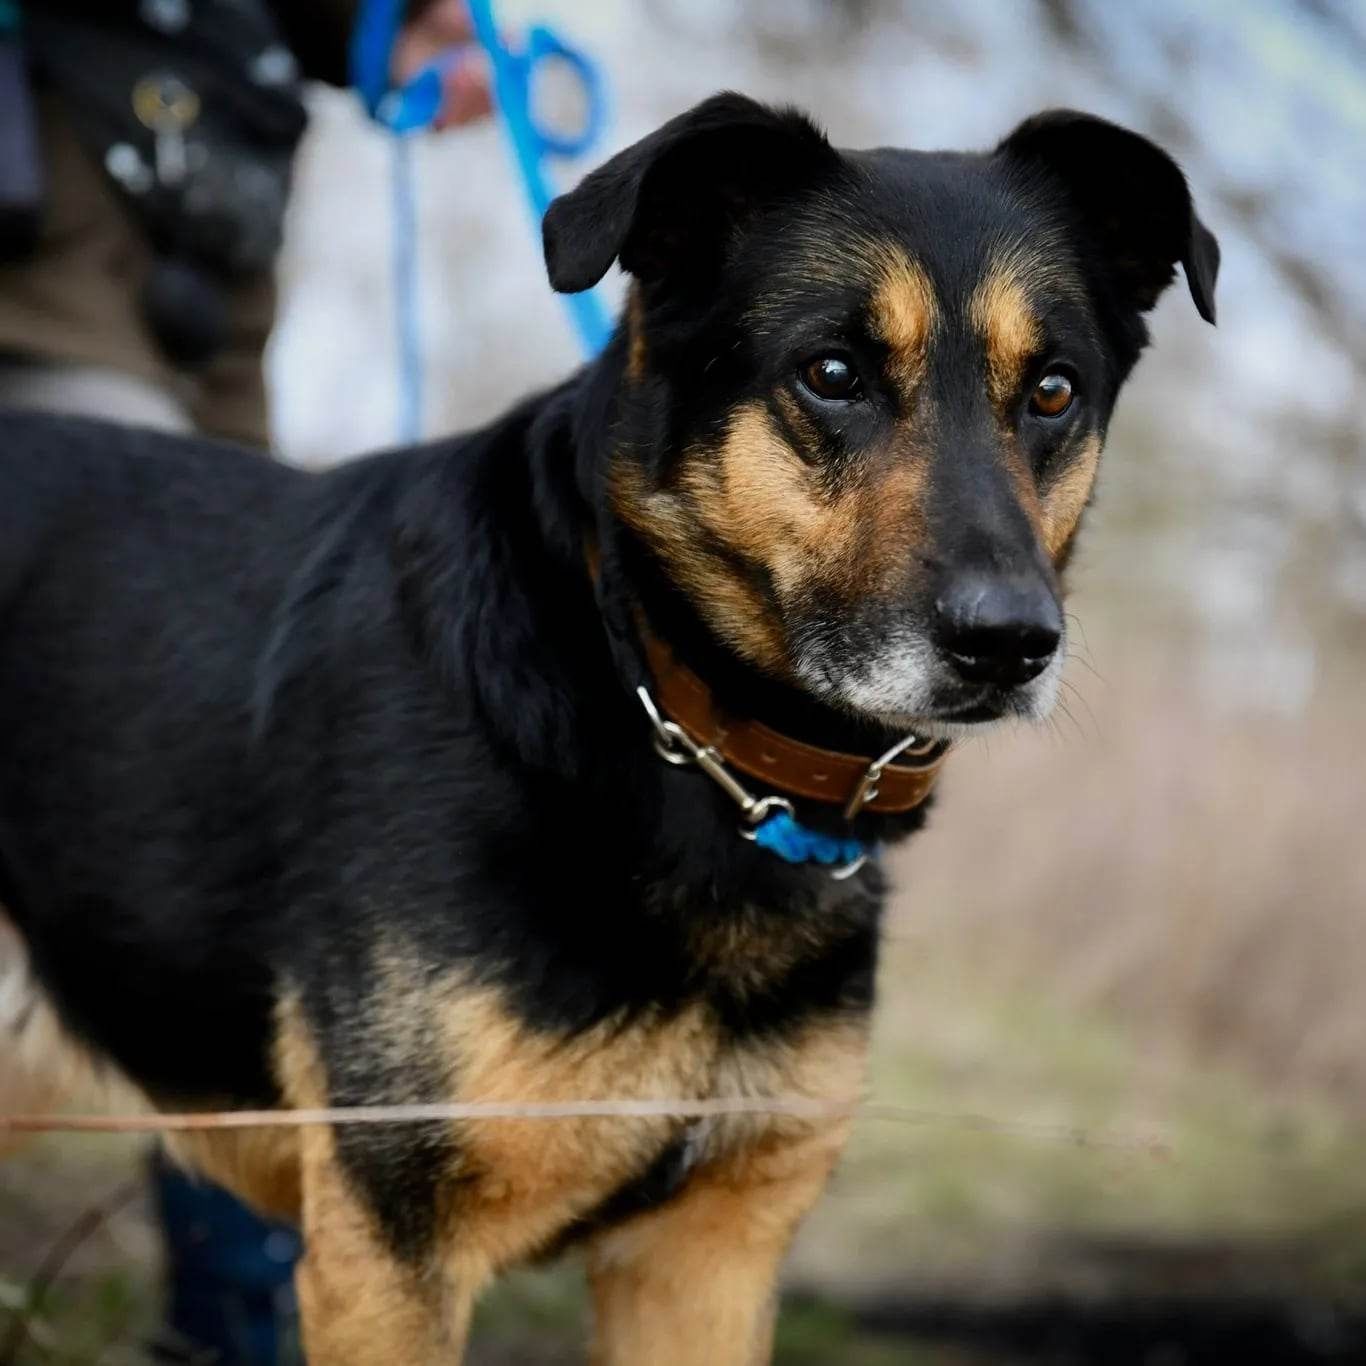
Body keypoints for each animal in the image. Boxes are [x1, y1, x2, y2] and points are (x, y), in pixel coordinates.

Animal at [0, 90, 1218, 1360]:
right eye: (831, 373)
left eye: (1053, 391)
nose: (1009, 643)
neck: (660, 702)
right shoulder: (389, 1247)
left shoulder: (706, 1261)